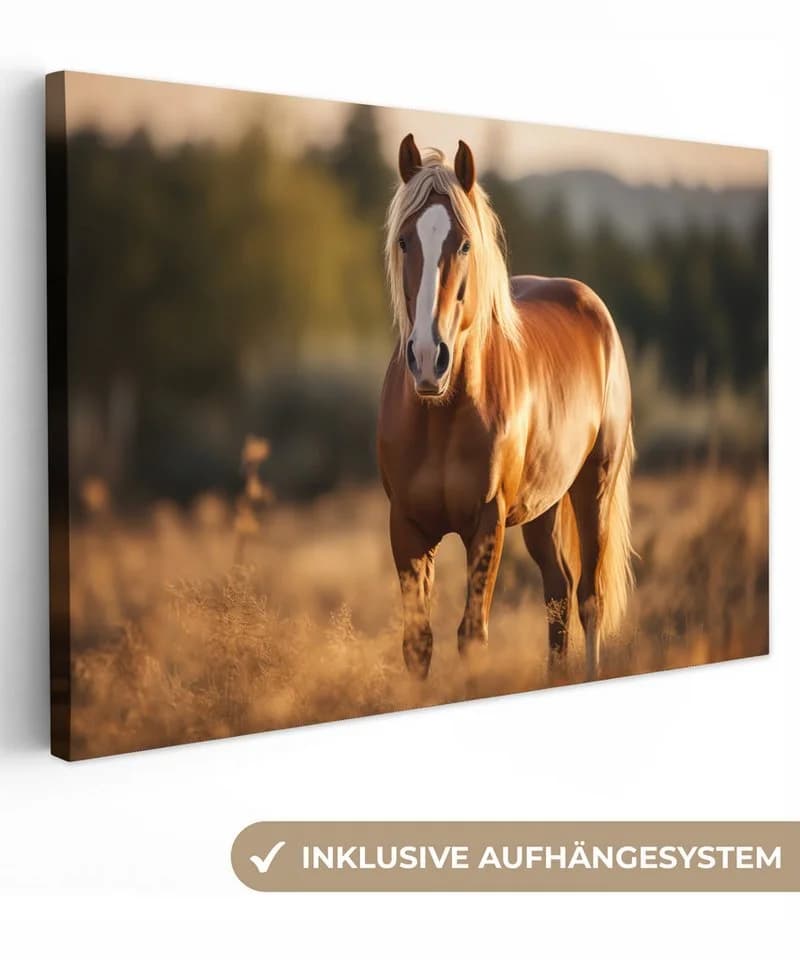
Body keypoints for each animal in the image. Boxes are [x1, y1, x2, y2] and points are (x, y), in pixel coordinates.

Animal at [377, 134, 635, 682]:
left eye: (464, 244)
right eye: (405, 240)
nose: (428, 359)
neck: (441, 416)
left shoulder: (487, 522)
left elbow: (472, 636)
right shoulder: (406, 525)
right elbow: (418, 643)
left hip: (594, 487)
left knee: (589, 599)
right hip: (544, 506)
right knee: (558, 591)